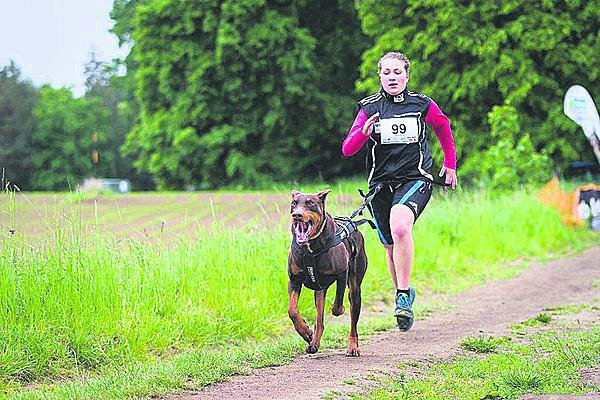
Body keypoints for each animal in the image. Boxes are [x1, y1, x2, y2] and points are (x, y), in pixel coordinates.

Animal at [286, 189, 366, 354]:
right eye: (294, 203)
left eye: (311, 203)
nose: (297, 215)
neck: (310, 248)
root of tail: (353, 225)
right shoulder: (294, 279)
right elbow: (292, 310)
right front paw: (305, 332)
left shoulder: (342, 273)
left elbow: (337, 305)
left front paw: (339, 310)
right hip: (319, 289)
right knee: (319, 318)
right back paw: (314, 342)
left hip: (355, 287)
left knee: (353, 319)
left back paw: (353, 346)